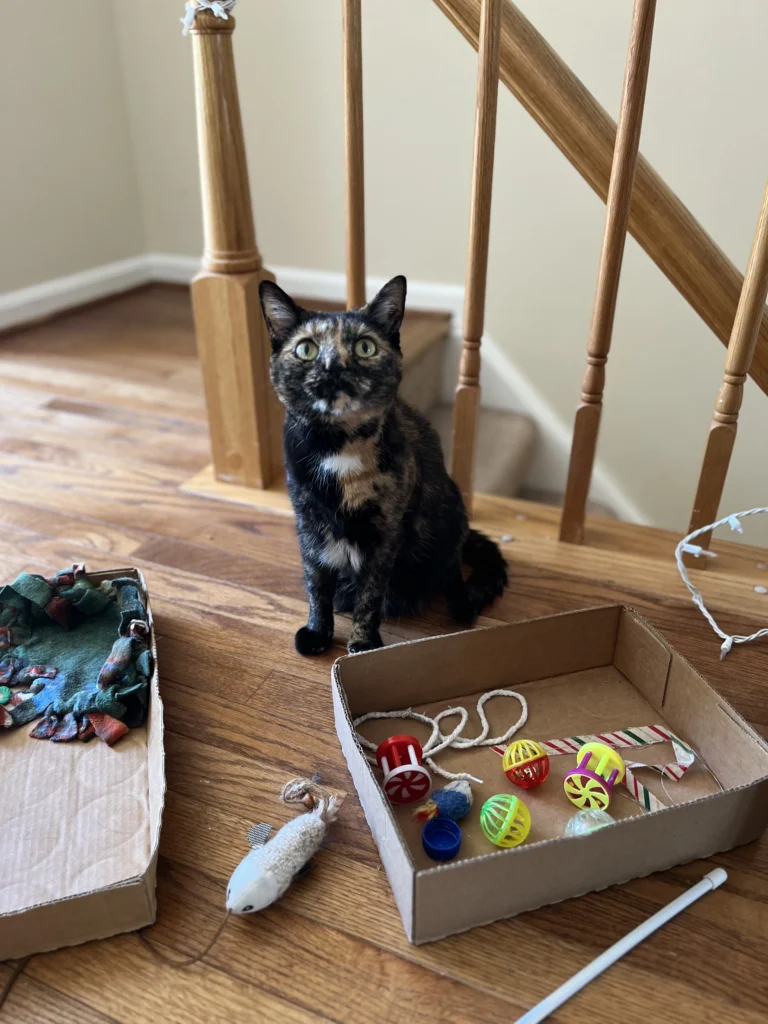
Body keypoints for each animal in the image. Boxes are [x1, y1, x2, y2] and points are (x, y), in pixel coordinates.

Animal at [262, 276, 507, 651]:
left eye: (365, 348)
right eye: (307, 350)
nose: (335, 367)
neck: (340, 447)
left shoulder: (387, 531)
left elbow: (371, 592)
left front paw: (362, 641)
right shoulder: (308, 523)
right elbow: (316, 581)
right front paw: (318, 631)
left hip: (451, 512)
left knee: (450, 574)